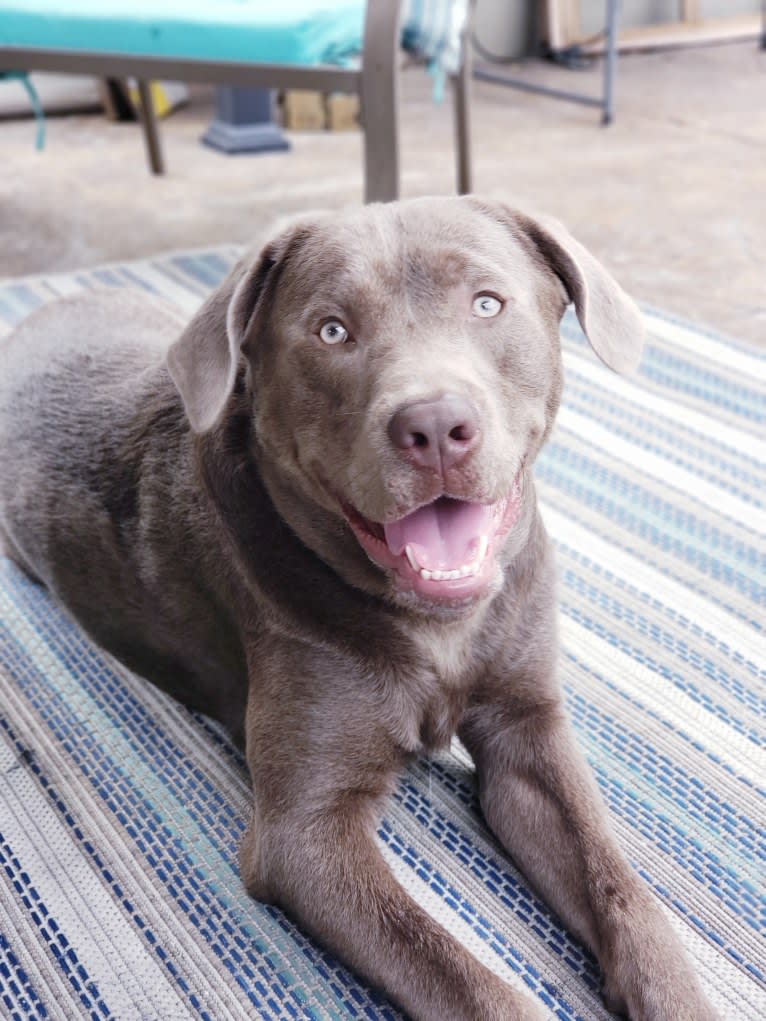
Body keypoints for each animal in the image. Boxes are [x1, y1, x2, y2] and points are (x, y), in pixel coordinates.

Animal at [0, 199, 719, 1021]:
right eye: (332, 331)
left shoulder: (526, 729)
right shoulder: (307, 834)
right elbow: (467, 982)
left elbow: (623, 887)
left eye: (486, 304)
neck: (439, 628)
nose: (434, 426)